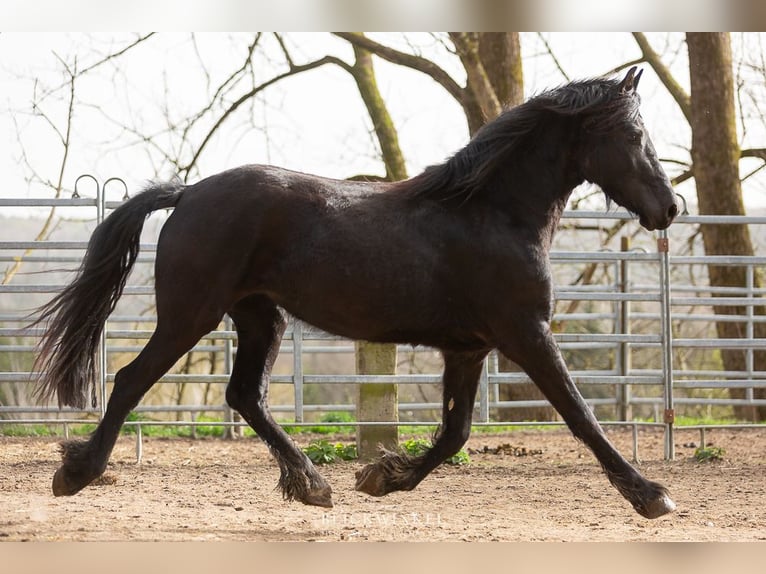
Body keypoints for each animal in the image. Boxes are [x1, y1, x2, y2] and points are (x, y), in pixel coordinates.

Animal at [33, 67, 679, 519]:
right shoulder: (526, 334)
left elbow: (455, 433)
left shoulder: (468, 349)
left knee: (245, 395)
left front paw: (381, 478)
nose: (670, 208)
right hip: (191, 315)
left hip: (261, 318)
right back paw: (77, 473)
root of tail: (188, 193)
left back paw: (313, 486)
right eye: (633, 133)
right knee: (131, 381)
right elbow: (581, 416)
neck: (491, 213)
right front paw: (652, 495)